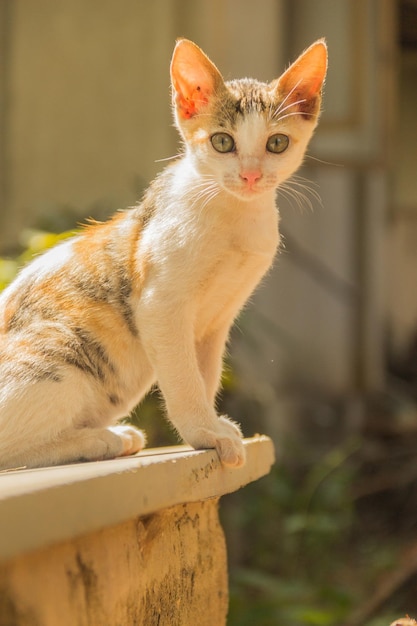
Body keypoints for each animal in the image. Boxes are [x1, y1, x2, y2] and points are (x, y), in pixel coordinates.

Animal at [0, 37, 326, 468]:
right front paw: (204, 432)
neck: (234, 217)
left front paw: (210, 426)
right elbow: (184, 378)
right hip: (60, 351)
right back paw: (98, 440)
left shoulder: (216, 321)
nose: (251, 175)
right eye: (223, 142)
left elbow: (205, 374)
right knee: (10, 451)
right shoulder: (160, 303)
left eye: (277, 143)